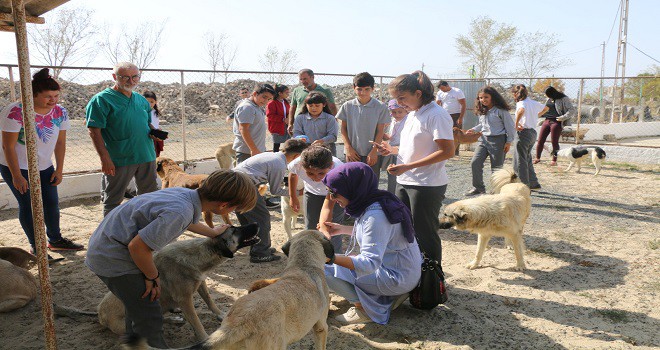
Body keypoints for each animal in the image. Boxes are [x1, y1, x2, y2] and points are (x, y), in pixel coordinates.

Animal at [100, 223, 260, 340]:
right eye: (235, 230)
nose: (256, 223)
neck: (201, 254)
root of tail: (100, 314)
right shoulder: (185, 299)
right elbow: (196, 321)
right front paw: (204, 338)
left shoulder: (201, 283)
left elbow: (209, 301)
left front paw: (220, 314)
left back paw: (175, 315)